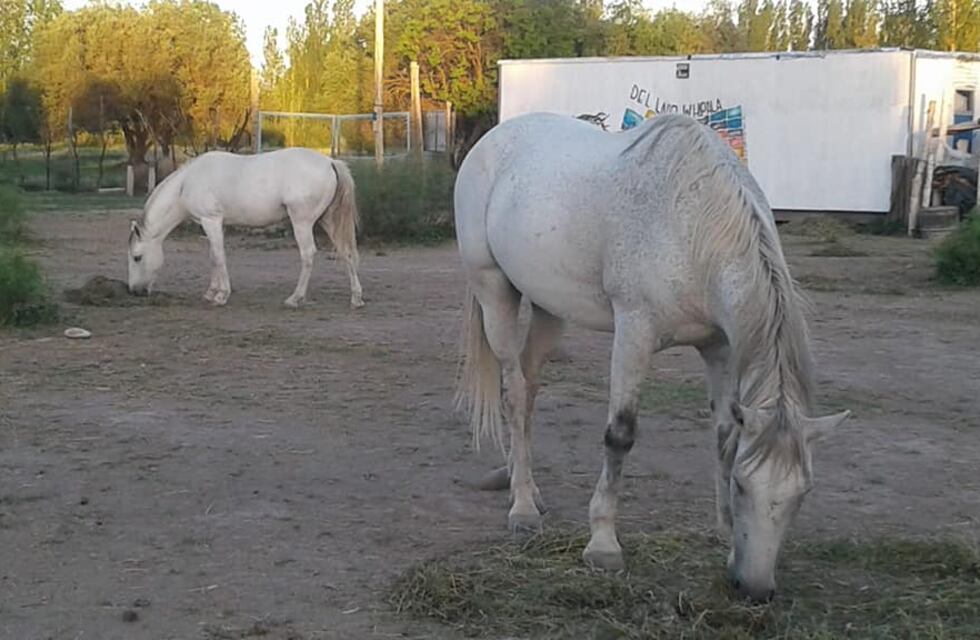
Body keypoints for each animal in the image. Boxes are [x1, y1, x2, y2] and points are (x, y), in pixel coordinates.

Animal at [127, 147, 364, 309]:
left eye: (137, 257)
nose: (134, 291)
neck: (187, 183)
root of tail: (330, 162)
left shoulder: (211, 221)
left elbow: (219, 257)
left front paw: (221, 295)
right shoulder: (216, 225)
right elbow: (213, 256)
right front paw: (211, 292)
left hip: (302, 222)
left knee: (308, 255)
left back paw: (295, 298)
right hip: (327, 220)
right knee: (346, 252)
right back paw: (356, 298)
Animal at [454, 112, 850, 603]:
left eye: (802, 493)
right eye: (742, 485)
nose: (754, 589)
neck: (692, 223)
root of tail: (490, 140)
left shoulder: (719, 346)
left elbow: (724, 434)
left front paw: (723, 532)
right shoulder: (634, 333)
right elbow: (620, 435)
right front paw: (603, 544)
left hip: (549, 308)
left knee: (526, 390)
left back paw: (521, 485)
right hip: (495, 293)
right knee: (512, 392)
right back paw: (523, 508)